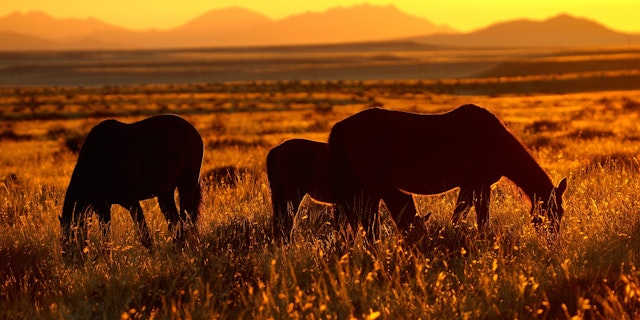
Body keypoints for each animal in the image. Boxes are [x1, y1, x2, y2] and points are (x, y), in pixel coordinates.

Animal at [60, 114, 202, 258]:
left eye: (70, 237)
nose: (68, 257)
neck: (100, 159)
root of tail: (192, 129)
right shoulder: (102, 207)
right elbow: (106, 240)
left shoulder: (131, 202)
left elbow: (144, 236)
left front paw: (154, 259)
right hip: (166, 193)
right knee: (175, 224)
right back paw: (176, 253)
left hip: (186, 184)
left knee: (186, 220)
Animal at [328, 105, 568, 238]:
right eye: (551, 214)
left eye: (561, 214)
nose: (553, 242)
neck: (496, 142)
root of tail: (342, 125)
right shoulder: (480, 185)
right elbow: (480, 220)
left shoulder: (470, 186)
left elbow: (459, 216)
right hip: (371, 188)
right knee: (368, 222)